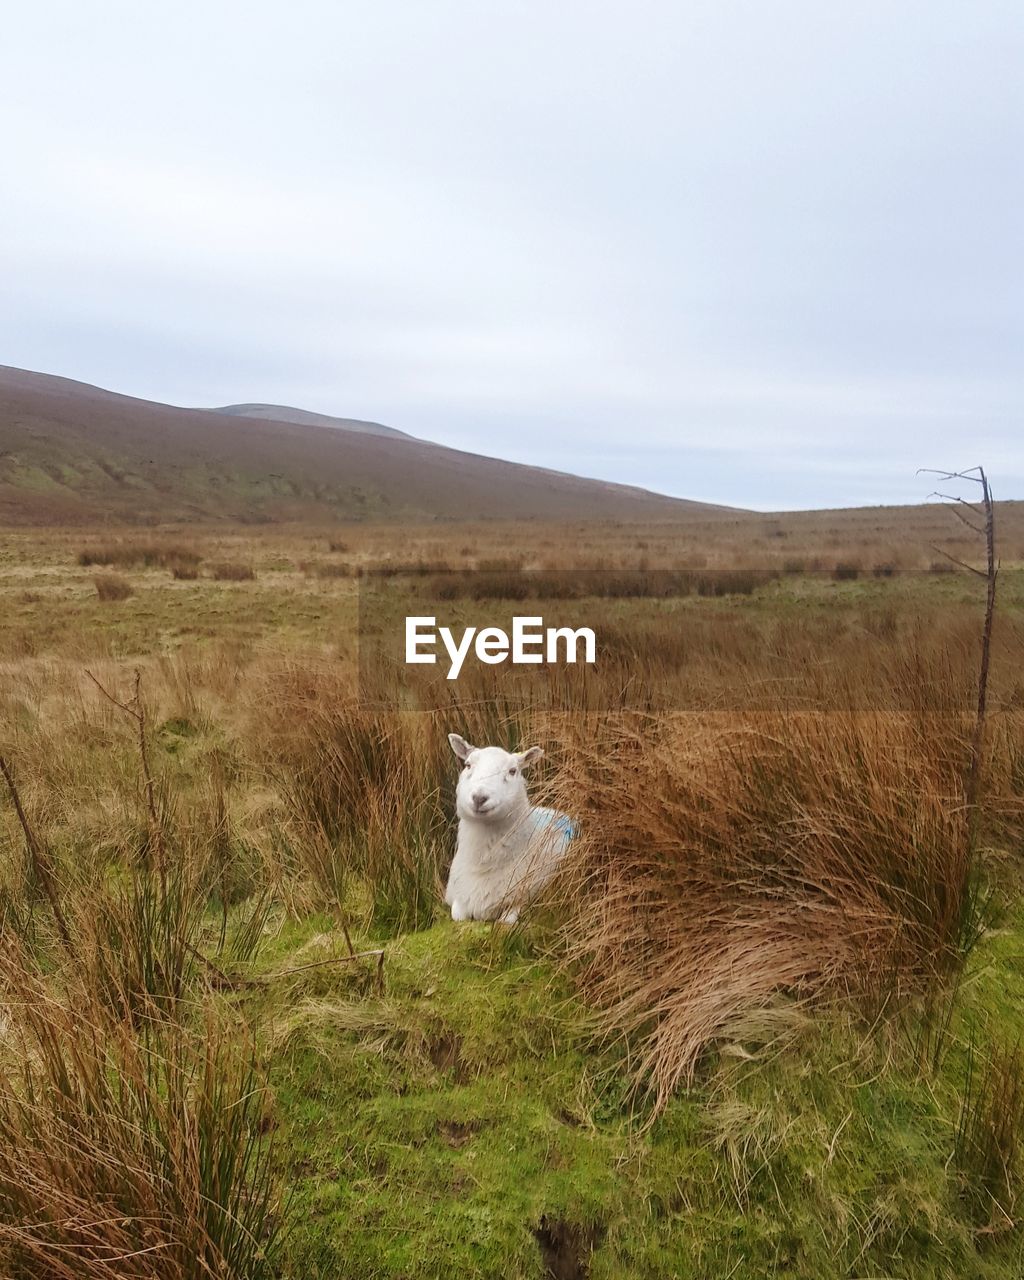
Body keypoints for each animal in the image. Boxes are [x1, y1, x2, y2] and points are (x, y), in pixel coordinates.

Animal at [445, 737, 576, 926]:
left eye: (513, 771)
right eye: (468, 765)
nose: (479, 798)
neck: (482, 866)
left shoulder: (523, 898)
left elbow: (507, 920)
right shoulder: (458, 898)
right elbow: (458, 915)